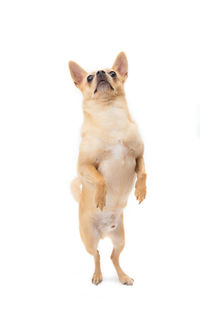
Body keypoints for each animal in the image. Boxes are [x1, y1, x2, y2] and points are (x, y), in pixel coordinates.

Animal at [68, 51, 145, 286]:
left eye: (113, 73)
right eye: (89, 77)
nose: (102, 73)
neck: (110, 117)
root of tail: (103, 233)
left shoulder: (139, 155)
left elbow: (143, 172)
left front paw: (141, 190)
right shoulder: (84, 166)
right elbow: (100, 179)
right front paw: (101, 198)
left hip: (120, 238)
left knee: (113, 256)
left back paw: (123, 276)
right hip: (89, 239)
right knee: (97, 255)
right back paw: (97, 275)